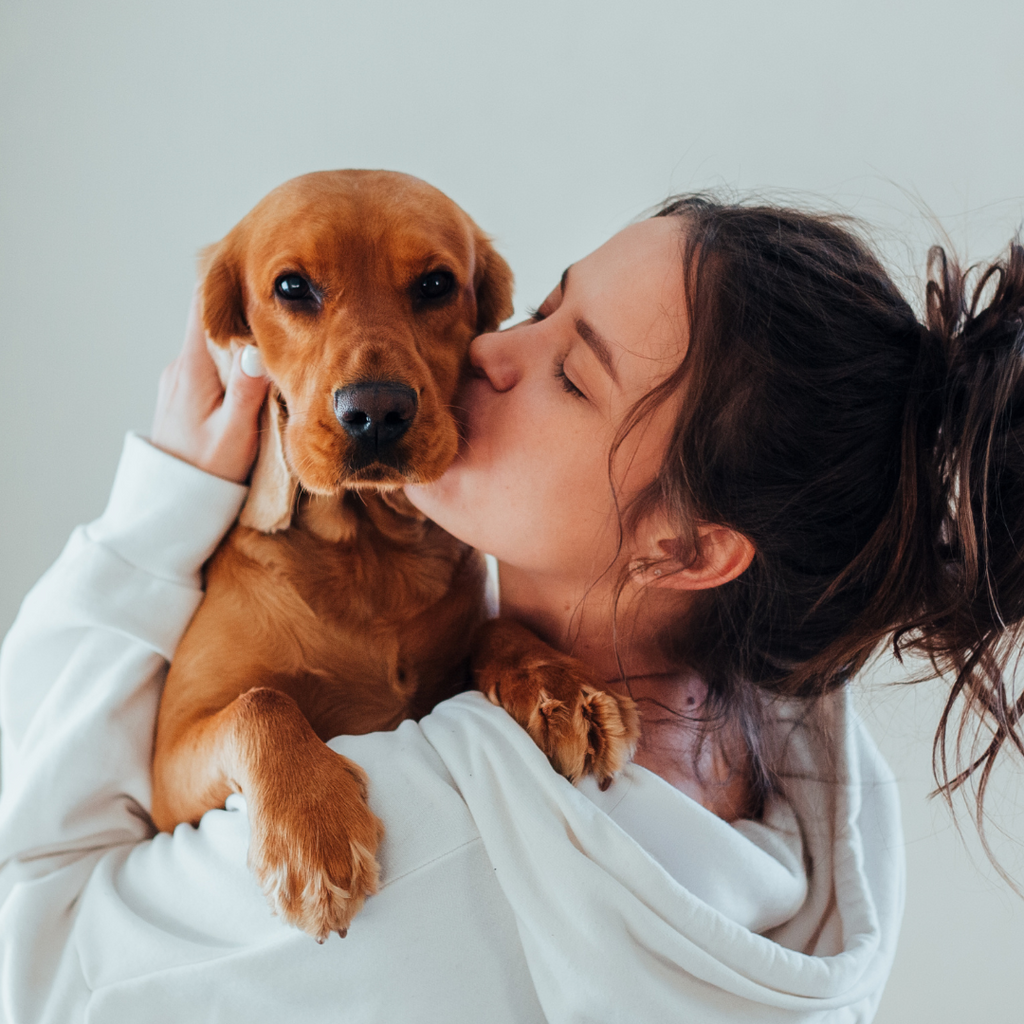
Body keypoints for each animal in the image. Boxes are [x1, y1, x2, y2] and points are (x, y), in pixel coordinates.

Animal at [151, 170, 639, 943]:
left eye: (436, 284)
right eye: (291, 287)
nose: (376, 413)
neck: (370, 553)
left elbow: (497, 626)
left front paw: (560, 684)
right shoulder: (166, 781)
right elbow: (261, 700)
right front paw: (311, 830)